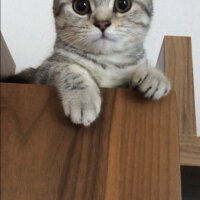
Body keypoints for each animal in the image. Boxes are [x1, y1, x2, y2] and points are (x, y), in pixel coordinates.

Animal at [2, 0, 170, 125]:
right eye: (81, 6)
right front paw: (82, 99)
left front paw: (154, 76)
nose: (102, 23)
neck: (106, 60)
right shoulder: (43, 72)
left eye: (123, 4)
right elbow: (70, 69)